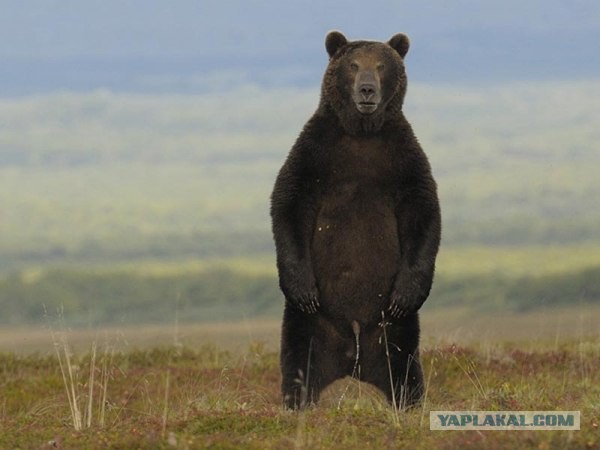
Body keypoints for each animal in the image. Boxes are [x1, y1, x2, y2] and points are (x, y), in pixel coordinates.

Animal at [270, 30, 440, 412]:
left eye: (381, 65)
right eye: (353, 64)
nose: (366, 89)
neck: (362, 132)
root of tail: (352, 357)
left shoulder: (403, 158)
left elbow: (423, 213)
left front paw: (409, 291)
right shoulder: (315, 152)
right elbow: (288, 202)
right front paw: (301, 286)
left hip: (392, 328)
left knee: (403, 363)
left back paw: (408, 401)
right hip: (311, 324)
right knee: (299, 356)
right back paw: (297, 400)